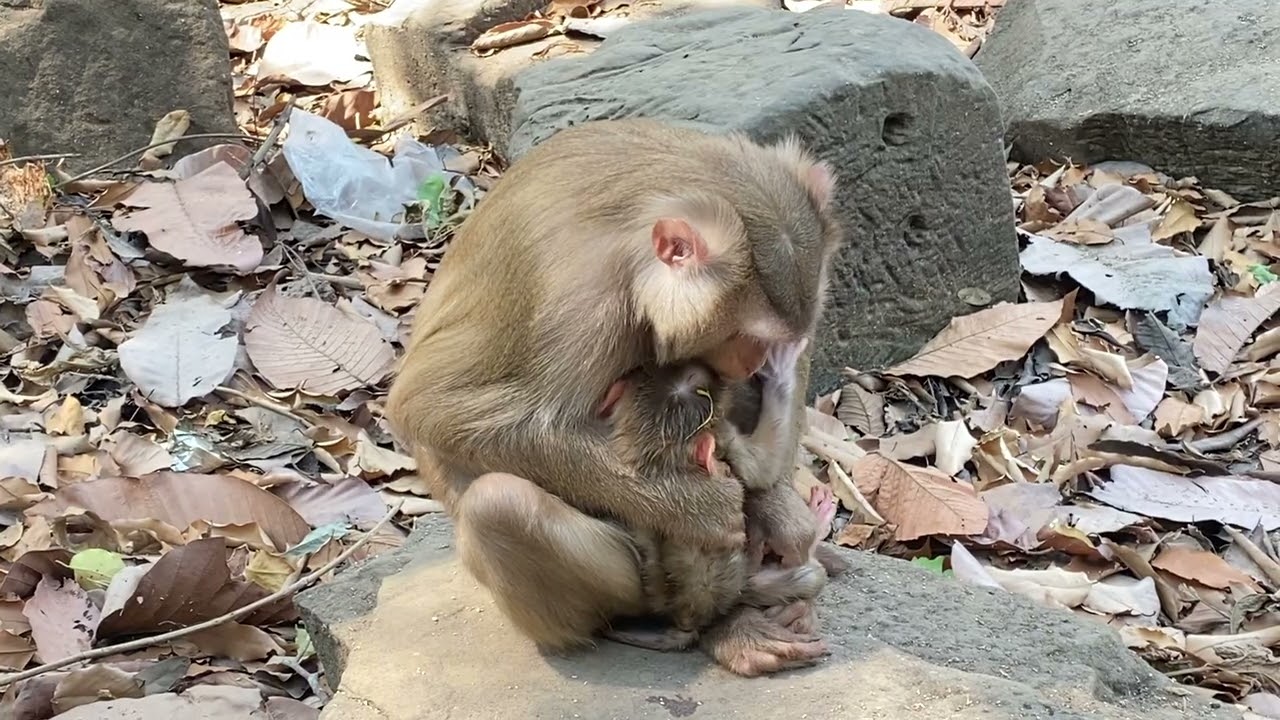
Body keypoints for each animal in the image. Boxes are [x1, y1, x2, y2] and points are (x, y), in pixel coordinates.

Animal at [384, 118, 844, 673]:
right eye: (745, 335)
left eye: (767, 340)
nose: (754, 364)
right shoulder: (582, 301)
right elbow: (426, 405)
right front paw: (699, 509)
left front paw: (782, 517)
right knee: (498, 504)